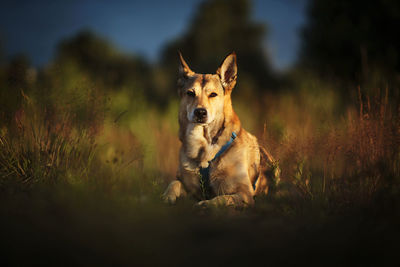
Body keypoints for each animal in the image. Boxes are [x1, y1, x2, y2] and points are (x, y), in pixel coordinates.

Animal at [161, 52, 280, 207]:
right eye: (190, 93)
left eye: (213, 94)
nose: (200, 112)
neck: (204, 148)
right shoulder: (190, 188)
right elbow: (174, 183)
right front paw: (166, 197)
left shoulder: (245, 194)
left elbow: (222, 198)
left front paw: (205, 204)